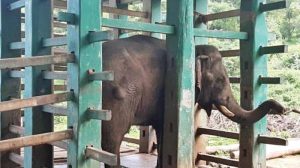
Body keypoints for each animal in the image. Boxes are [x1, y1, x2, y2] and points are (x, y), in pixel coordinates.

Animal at [101, 35, 286, 167]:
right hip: (117, 98)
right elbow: (164, 128)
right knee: (113, 139)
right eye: (220, 81)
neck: (193, 48)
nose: (282, 109)